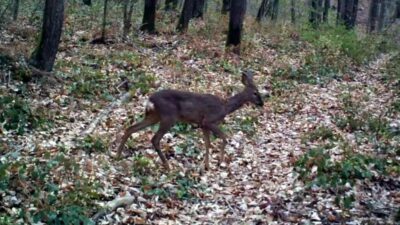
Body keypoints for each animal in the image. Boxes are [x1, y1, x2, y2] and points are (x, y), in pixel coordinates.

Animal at [115, 71, 266, 171]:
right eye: (255, 93)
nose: (261, 103)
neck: (225, 107)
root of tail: (150, 100)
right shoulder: (209, 121)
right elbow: (224, 137)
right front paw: (220, 162)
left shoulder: (203, 124)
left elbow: (207, 143)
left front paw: (207, 165)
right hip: (168, 117)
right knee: (155, 139)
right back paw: (167, 166)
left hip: (154, 116)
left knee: (131, 128)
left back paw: (118, 155)